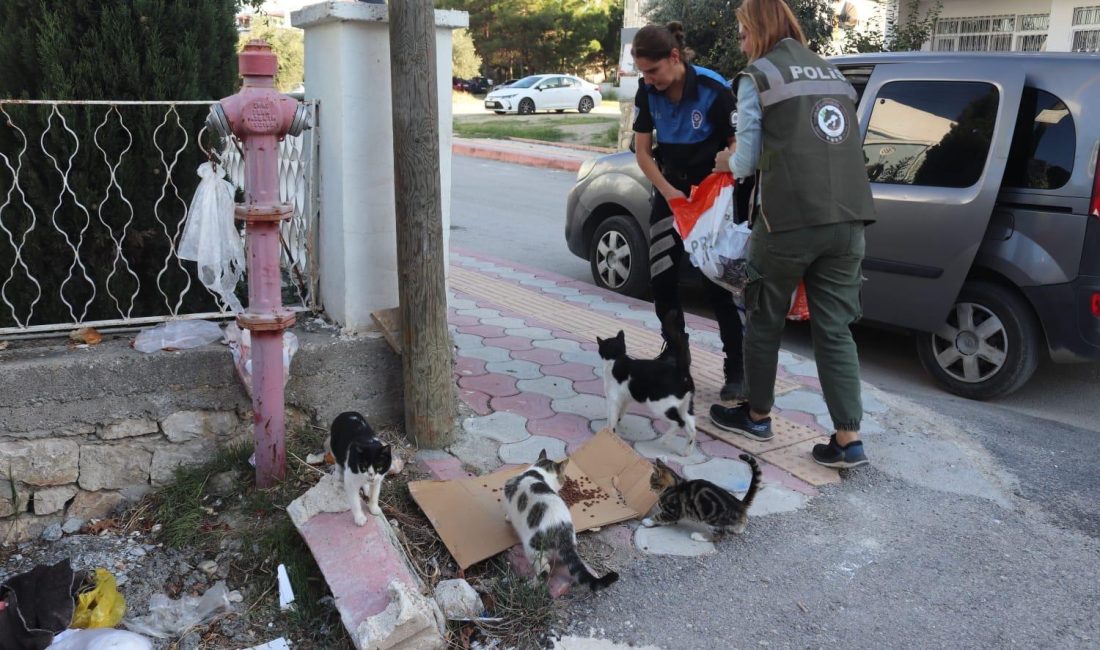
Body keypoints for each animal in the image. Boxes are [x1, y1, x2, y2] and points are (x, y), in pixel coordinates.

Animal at [503, 450, 620, 593]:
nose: (564, 481)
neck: (537, 472)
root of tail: (561, 531)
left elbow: (509, 513)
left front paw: (508, 518)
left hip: (533, 549)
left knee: (545, 570)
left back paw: (529, 585)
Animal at [598, 312, 699, 455]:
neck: (617, 358)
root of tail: (681, 372)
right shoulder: (625, 399)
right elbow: (619, 413)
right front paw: (616, 424)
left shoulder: (613, 399)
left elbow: (611, 417)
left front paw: (609, 432)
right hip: (686, 407)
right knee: (692, 428)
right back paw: (687, 451)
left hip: (660, 405)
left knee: (679, 423)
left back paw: (665, 439)